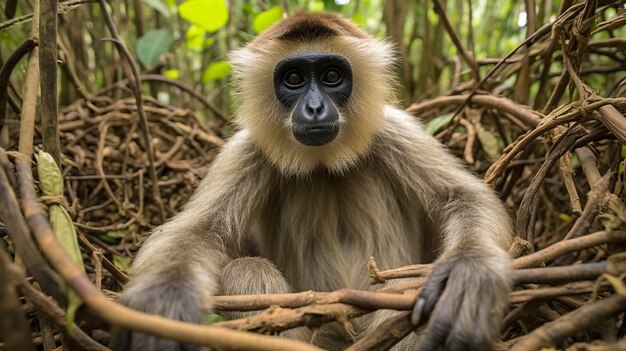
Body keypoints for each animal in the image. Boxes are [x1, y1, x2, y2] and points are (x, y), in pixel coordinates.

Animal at [113, 11, 512, 351]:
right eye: (294, 79)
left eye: (332, 76)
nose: (316, 109)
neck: (323, 164)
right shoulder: (247, 149)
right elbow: (199, 232)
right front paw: (164, 300)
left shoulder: (392, 129)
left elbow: (462, 197)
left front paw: (468, 269)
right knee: (246, 269)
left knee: (402, 282)